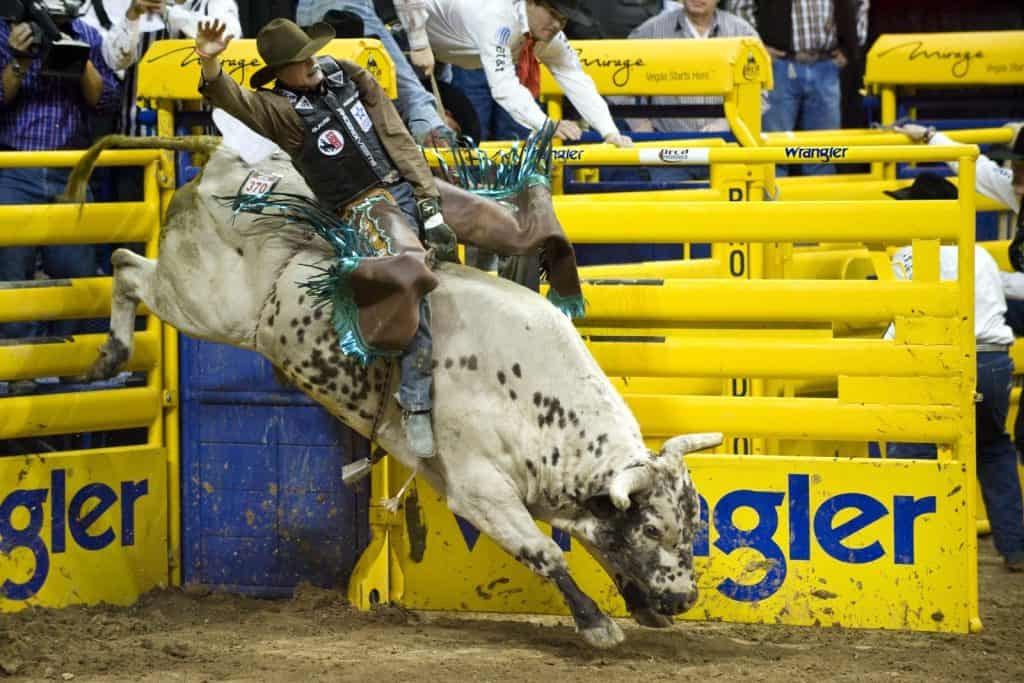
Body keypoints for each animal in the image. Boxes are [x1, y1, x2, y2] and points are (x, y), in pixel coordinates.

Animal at [74, 136, 720, 651]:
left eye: (693, 525)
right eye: (654, 529)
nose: (685, 599)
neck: (535, 402)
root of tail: (224, 162)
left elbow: (584, 543)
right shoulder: (477, 489)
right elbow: (544, 552)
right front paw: (596, 624)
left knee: (127, 262)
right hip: (200, 301)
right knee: (125, 264)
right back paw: (111, 352)